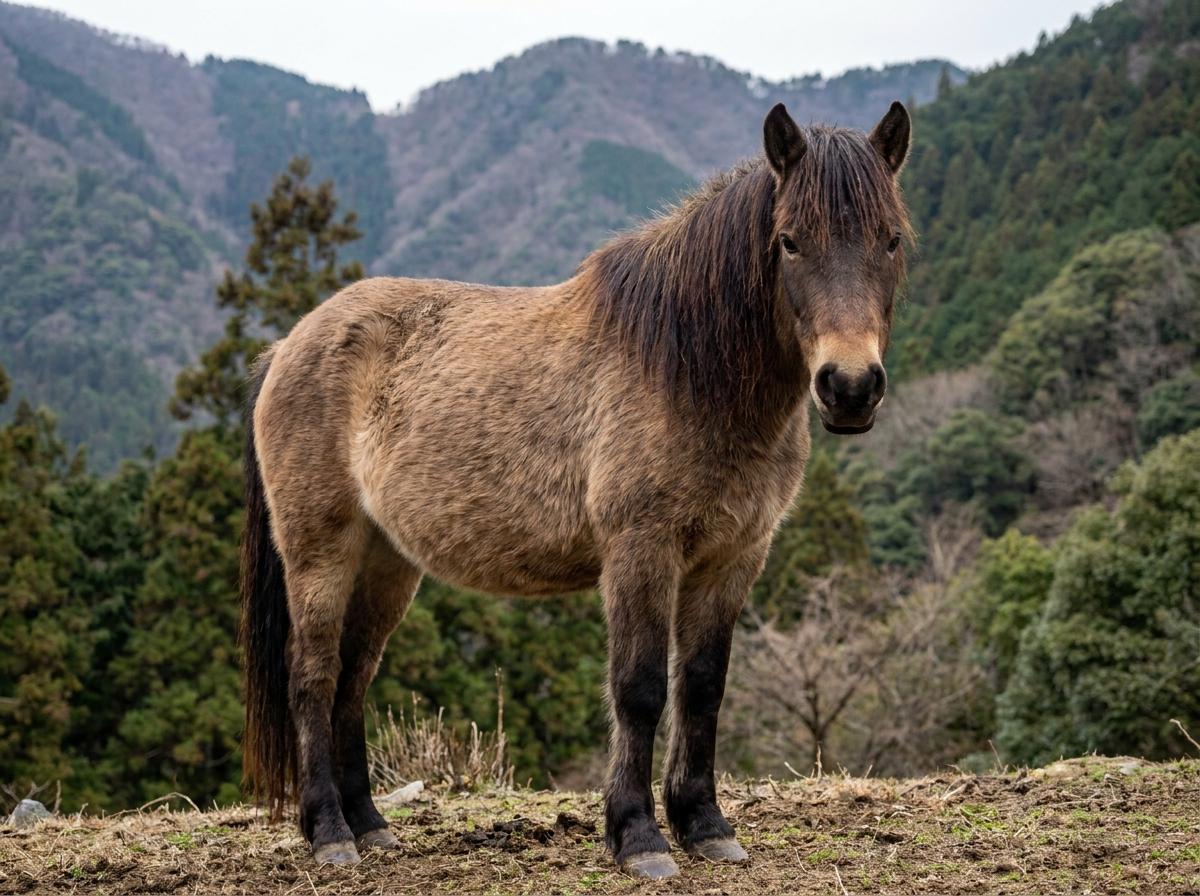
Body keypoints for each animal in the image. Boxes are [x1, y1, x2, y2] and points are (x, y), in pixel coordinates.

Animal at [239, 100, 912, 879]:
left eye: (890, 239)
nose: (850, 387)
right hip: (320, 550)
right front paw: (639, 836)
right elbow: (640, 689)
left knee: (353, 677)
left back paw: (371, 825)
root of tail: (288, 345)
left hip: (387, 563)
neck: (686, 368)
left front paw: (705, 825)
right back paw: (329, 833)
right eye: (791, 242)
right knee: (314, 678)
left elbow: (702, 687)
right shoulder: (640, 551)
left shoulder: (733, 558)